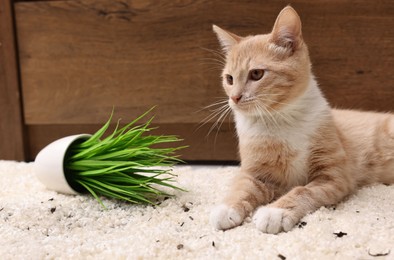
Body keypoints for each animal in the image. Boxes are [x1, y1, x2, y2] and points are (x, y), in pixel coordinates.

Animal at [211, 5, 392, 234]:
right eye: (229, 79)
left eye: (257, 74)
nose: (234, 97)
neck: (280, 121)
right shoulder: (254, 173)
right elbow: (241, 187)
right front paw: (226, 208)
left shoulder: (333, 177)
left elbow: (303, 191)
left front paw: (275, 212)